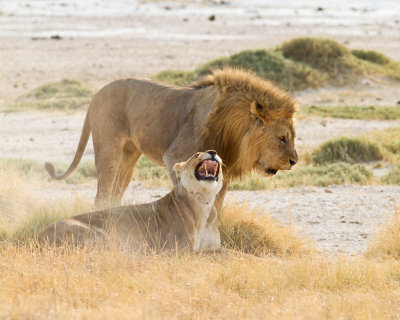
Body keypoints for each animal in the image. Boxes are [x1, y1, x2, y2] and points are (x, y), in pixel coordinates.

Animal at [39, 151, 223, 251]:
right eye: (196, 154)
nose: (213, 151)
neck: (204, 202)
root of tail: (38, 235)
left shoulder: (214, 246)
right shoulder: (177, 249)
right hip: (99, 235)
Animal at [45, 68, 298, 209]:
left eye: (293, 137)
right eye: (282, 138)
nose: (294, 161)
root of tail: (97, 93)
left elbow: (217, 206)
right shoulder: (175, 156)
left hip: (129, 154)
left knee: (114, 194)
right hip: (109, 150)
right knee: (102, 195)